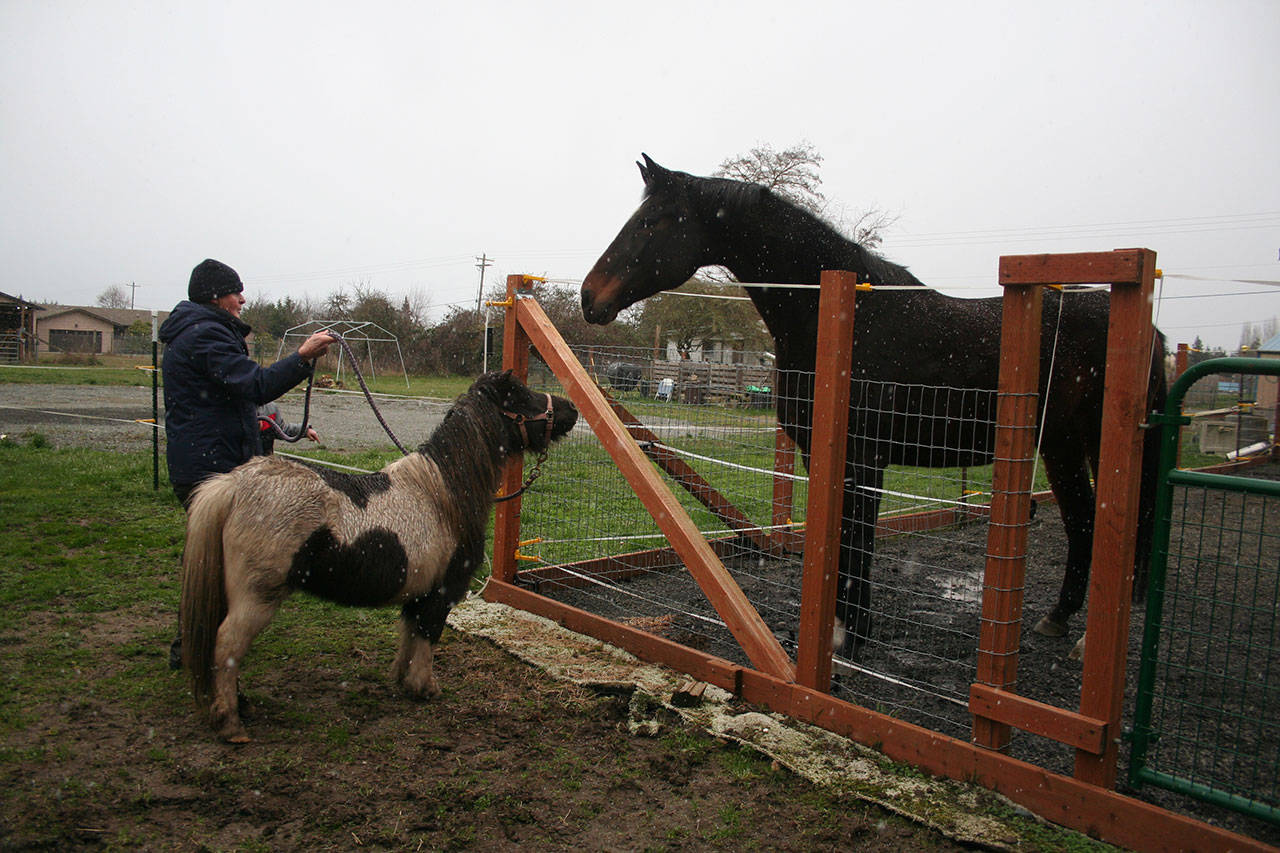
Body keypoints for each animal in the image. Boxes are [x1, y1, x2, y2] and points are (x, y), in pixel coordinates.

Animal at [180, 370, 578, 742]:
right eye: (520, 396)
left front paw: (403, 681)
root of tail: (233, 485)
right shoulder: (441, 594)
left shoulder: (417, 592)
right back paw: (231, 723)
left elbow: (409, 634)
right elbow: (428, 636)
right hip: (256, 599)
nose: (571, 409)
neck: (442, 493)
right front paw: (424, 687)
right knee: (226, 647)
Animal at [581, 154, 1166, 660]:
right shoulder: (824, 456)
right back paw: (1057, 620)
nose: (590, 297)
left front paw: (849, 636)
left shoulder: (863, 459)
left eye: (654, 220)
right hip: (1061, 445)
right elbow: (839, 540)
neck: (843, 318)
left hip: (1092, 446)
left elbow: (856, 541)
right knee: (1082, 520)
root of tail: (1150, 330)